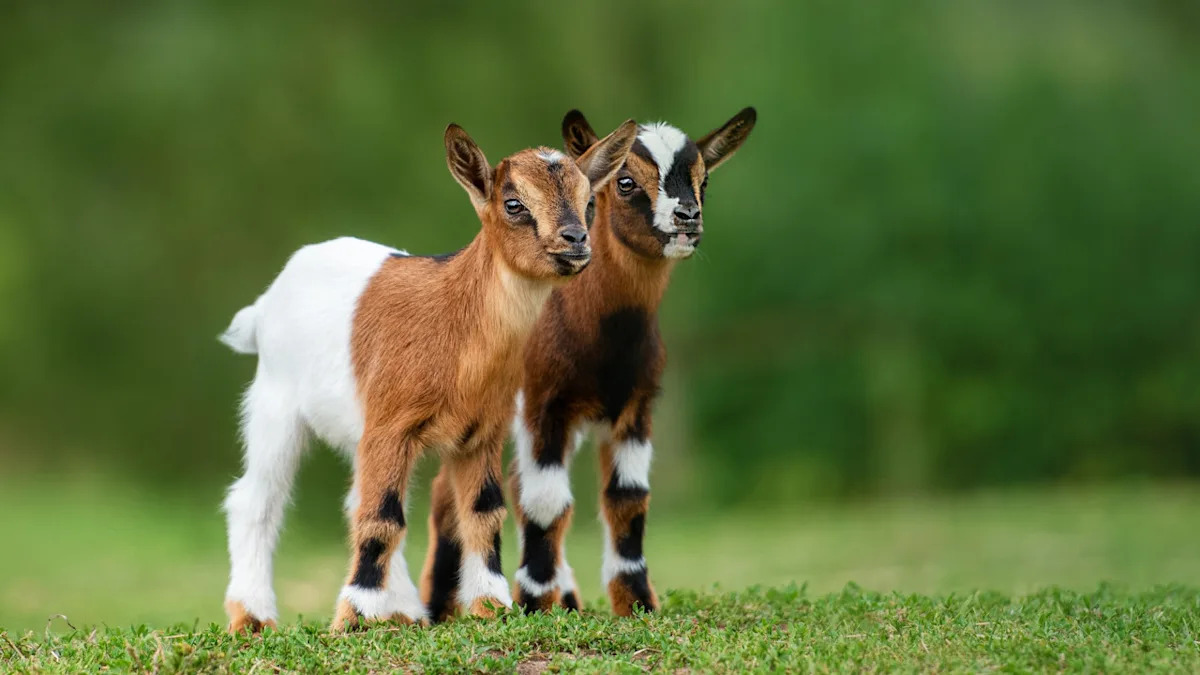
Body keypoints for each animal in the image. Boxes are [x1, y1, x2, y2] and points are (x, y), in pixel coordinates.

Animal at [219, 120, 637, 632]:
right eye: (513, 203)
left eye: (590, 202)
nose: (576, 239)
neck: (455, 325)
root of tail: (265, 304)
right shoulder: (391, 426)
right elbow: (382, 516)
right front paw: (352, 617)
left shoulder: (481, 433)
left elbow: (483, 512)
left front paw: (490, 604)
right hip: (276, 403)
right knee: (258, 499)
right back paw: (253, 617)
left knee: (355, 499)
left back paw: (401, 610)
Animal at [494, 108, 757, 616]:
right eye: (626, 181)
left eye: (705, 180)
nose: (687, 217)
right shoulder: (541, 403)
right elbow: (546, 499)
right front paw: (534, 604)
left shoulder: (636, 405)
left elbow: (628, 497)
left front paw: (636, 602)